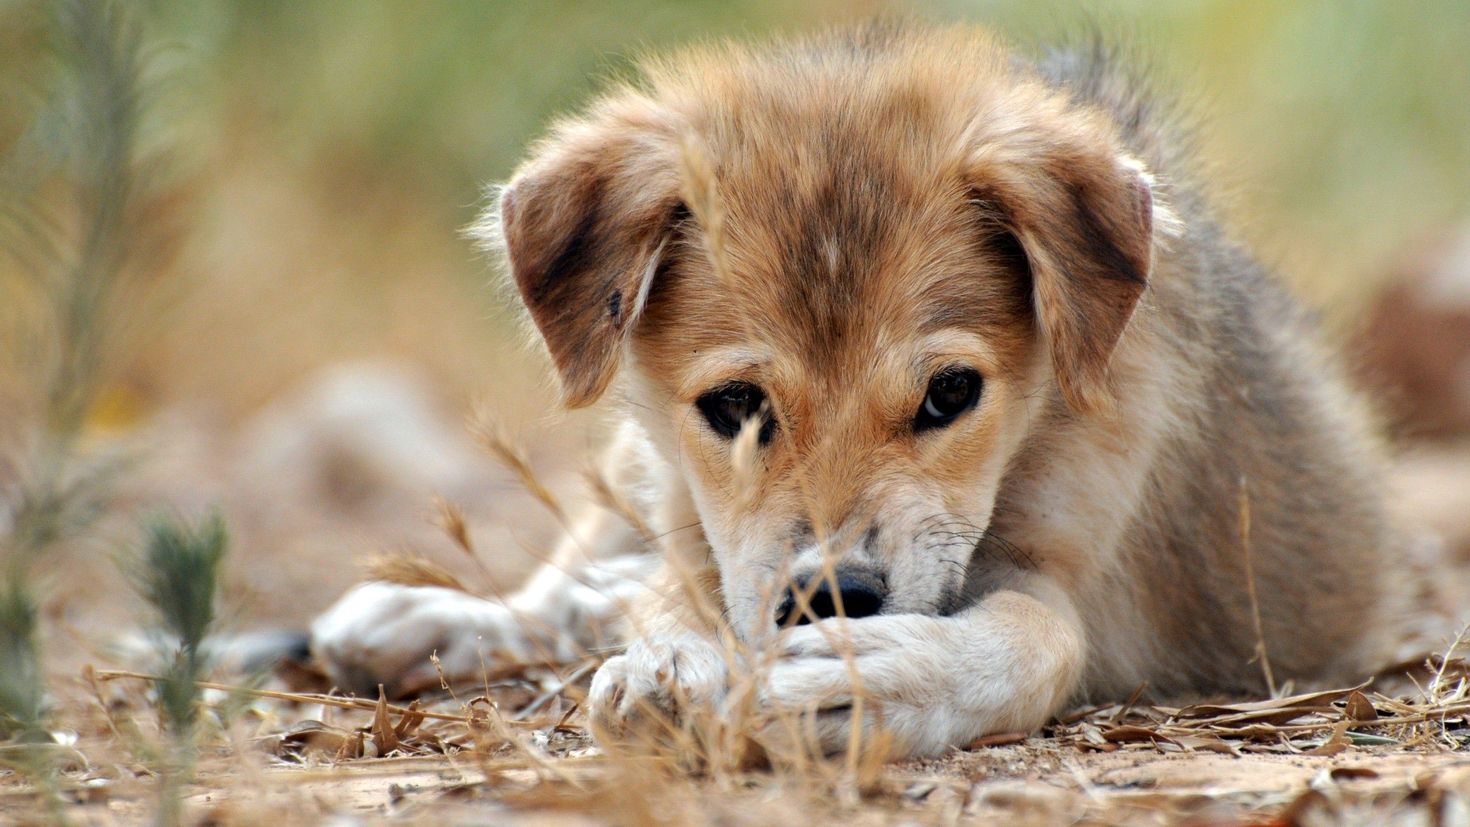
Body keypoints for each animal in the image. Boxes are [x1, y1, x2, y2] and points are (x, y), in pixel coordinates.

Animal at [313, 24, 1399, 763]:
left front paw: (867, 678)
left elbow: (1035, 636)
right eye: (734, 406)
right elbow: (675, 590)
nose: (832, 597)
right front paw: (672, 664)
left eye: (952, 392)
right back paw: (431, 616)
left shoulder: (1072, 566)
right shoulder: (696, 508)